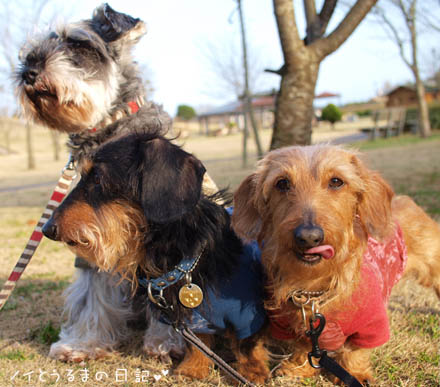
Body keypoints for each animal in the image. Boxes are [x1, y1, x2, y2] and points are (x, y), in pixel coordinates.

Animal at [15, 3, 187, 362]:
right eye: (30, 50)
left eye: (77, 44)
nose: (28, 73)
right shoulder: (89, 234)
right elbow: (92, 293)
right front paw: (83, 343)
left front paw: (167, 341)